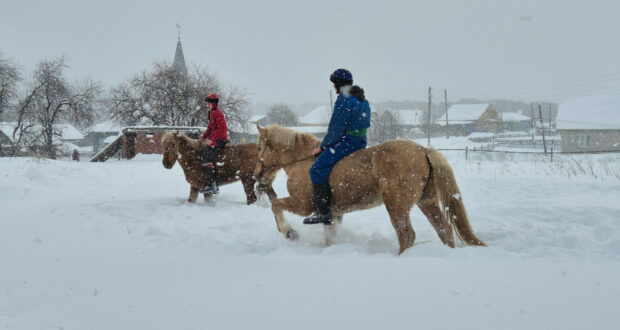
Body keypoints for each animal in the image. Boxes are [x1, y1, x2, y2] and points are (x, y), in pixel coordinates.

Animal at [254, 124, 486, 255]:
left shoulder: (303, 205)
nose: (257, 175)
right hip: (426, 202)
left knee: (407, 235)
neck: (301, 161)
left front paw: (290, 233)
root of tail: (423, 150)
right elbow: (330, 237)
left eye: (259, 148)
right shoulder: (332, 214)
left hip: (396, 206)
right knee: (443, 229)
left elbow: (276, 205)